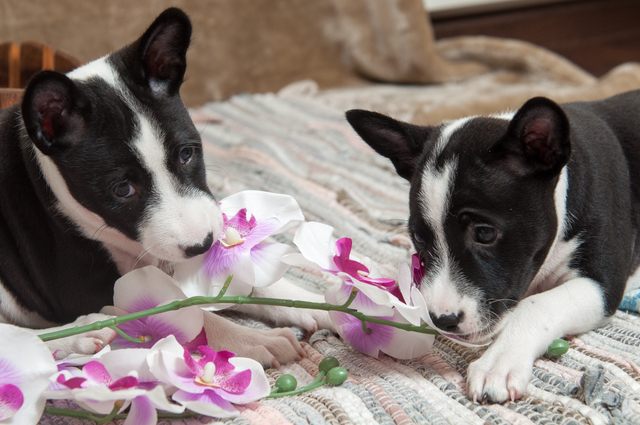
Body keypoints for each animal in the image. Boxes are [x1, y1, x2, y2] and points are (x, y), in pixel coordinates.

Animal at [0, 6, 328, 364]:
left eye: (186, 154)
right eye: (122, 189)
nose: (202, 244)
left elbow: (243, 275)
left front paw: (322, 304)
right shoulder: (84, 289)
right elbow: (188, 312)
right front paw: (252, 339)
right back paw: (83, 334)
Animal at [344, 91, 640, 402]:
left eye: (485, 234)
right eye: (420, 238)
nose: (442, 320)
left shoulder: (604, 285)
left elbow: (536, 304)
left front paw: (500, 362)